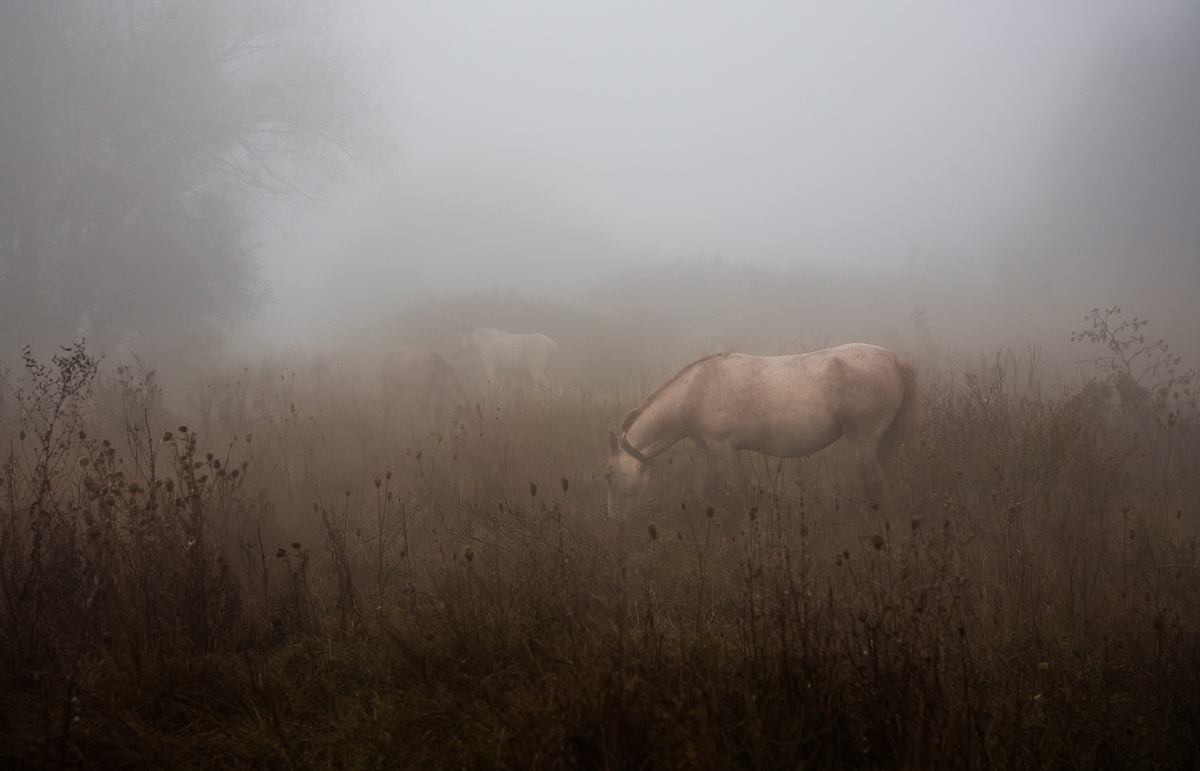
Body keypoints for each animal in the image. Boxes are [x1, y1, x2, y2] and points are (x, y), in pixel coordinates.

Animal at [604, 343, 921, 518]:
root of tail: (892, 359)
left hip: (863, 440)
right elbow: (709, 489)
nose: (614, 519)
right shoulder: (711, 450)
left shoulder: (722, 447)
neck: (692, 392)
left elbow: (735, 490)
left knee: (873, 481)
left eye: (608, 476)